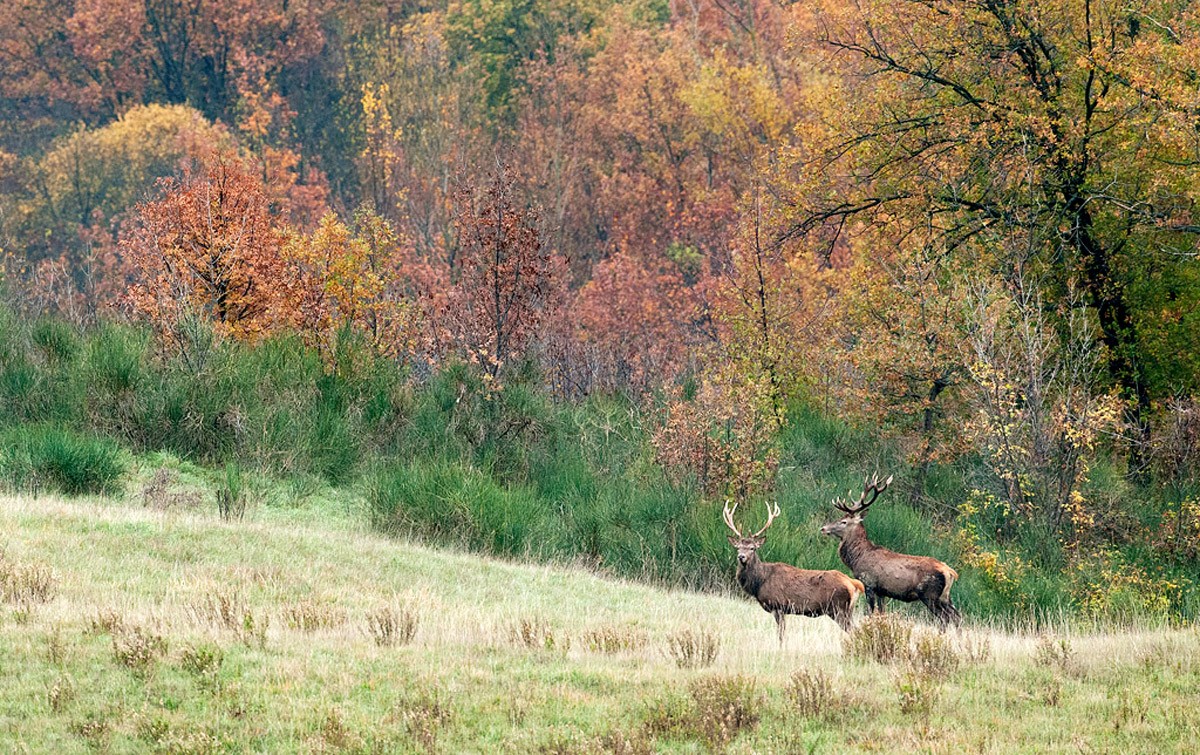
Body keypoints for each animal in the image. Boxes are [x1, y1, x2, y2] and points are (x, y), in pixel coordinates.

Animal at [720, 496, 864, 638]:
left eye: (752, 548)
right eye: (738, 547)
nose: (741, 557)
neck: (760, 582)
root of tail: (853, 583)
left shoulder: (778, 605)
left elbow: (781, 634)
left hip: (838, 608)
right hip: (847, 611)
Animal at [820, 472, 960, 628]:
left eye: (844, 522)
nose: (823, 528)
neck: (857, 558)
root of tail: (950, 572)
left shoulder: (869, 583)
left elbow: (871, 612)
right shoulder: (882, 592)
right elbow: (882, 613)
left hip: (930, 595)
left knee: (945, 618)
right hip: (945, 596)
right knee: (957, 616)